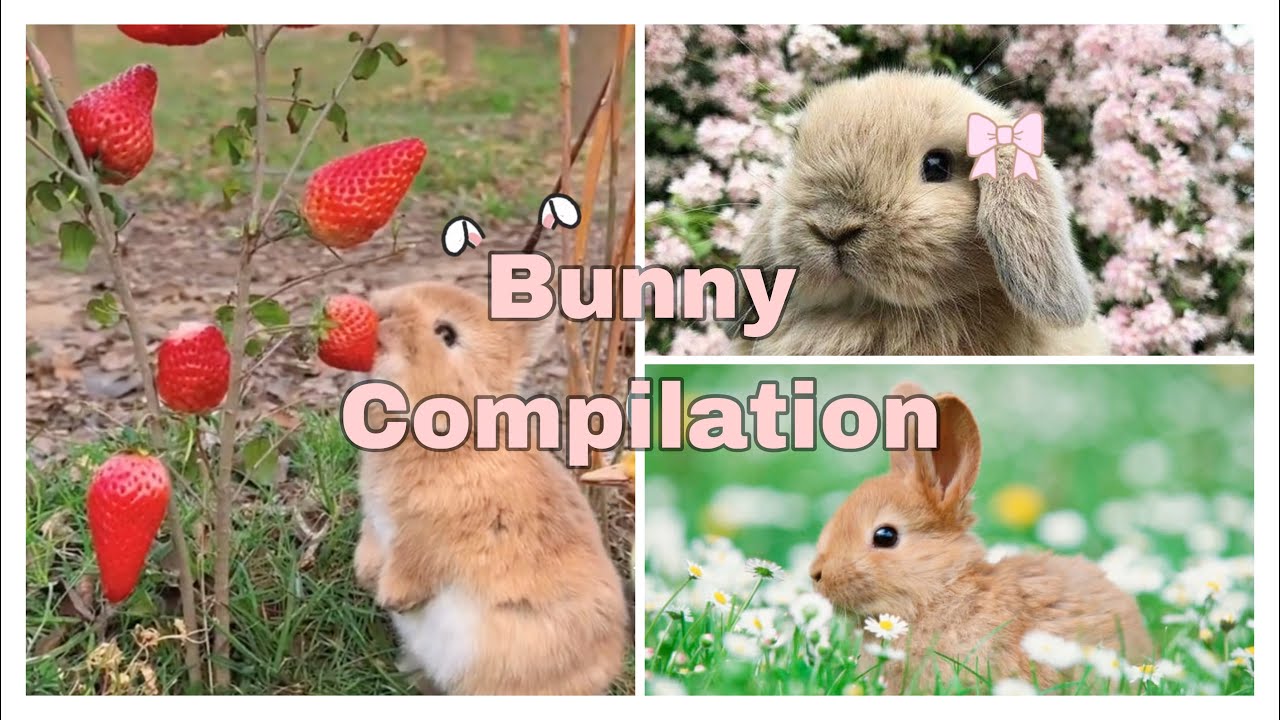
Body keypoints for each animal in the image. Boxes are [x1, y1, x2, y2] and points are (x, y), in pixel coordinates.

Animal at [353, 280, 629, 695]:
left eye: (447, 333)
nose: (381, 312)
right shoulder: (376, 519)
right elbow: (371, 545)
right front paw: (366, 576)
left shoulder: (430, 536)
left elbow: (415, 565)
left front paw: (392, 597)